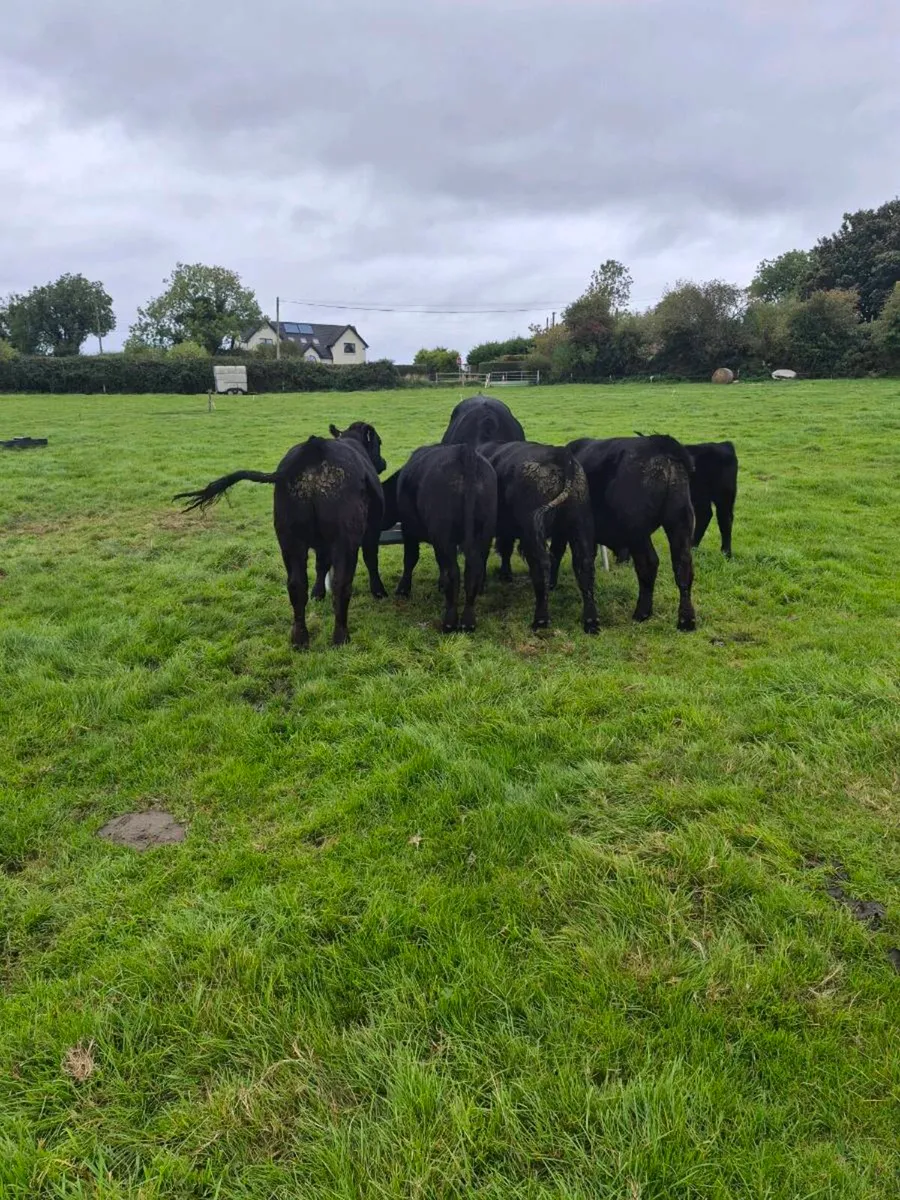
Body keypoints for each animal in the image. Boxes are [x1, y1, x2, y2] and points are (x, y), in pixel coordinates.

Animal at [174, 422, 388, 649]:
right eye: (379, 442)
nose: (383, 462)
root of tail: (314, 447)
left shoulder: (321, 544)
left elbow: (320, 565)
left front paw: (317, 593)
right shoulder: (371, 531)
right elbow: (371, 559)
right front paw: (379, 591)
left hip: (289, 539)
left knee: (296, 584)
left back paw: (299, 639)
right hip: (344, 539)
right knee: (341, 584)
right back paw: (340, 638)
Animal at [381, 443, 497, 633]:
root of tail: (464, 452)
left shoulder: (409, 528)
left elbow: (410, 558)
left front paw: (403, 589)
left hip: (444, 535)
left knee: (453, 572)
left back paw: (449, 621)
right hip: (484, 532)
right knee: (474, 570)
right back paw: (468, 621)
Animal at [479, 441, 599, 635]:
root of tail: (559, 454)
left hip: (533, 533)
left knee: (541, 565)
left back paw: (540, 619)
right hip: (580, 524)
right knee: (584, 565)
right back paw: (591, 620)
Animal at [560, 435, 697, 632]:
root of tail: (658, 444)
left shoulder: (578, 531)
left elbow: (582, 565)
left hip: (637, 532)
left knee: (648, 563)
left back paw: (641, 612)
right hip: (679, 522)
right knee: (682, 566)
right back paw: (685, 620)